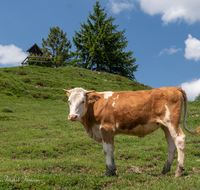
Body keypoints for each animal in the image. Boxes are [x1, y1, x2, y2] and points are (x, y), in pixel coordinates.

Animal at [63, 87, 200, 177]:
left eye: (83, 101)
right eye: (69, 101)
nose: (72, 116)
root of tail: (174, 88)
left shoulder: (106, 128)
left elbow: (107, 150)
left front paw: (108, 172)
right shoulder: (108, 132)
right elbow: (112, 149)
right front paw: (113, 170)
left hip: (172, 122)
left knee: (180, 140)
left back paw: (178, 171)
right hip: (165, 126)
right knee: (172, 145)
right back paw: (164, 171)